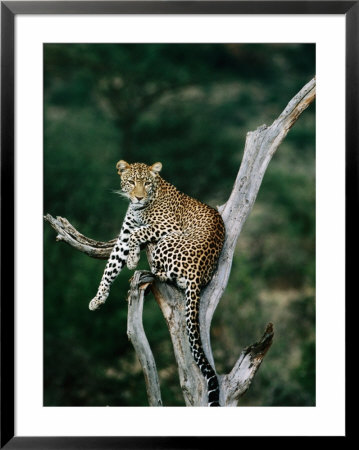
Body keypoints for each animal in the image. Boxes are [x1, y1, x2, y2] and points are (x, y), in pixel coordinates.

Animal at [89, 160, 225, 406]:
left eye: (147, 183)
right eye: (131, 181)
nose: (138, 197)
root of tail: (198, 275)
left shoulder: (167, 226)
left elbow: (138, 234)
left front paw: (132, 259)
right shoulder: (124, 235)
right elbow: (111, 265)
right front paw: (98, 298)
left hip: (168, 240)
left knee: (165, 274)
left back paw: (146, 270)